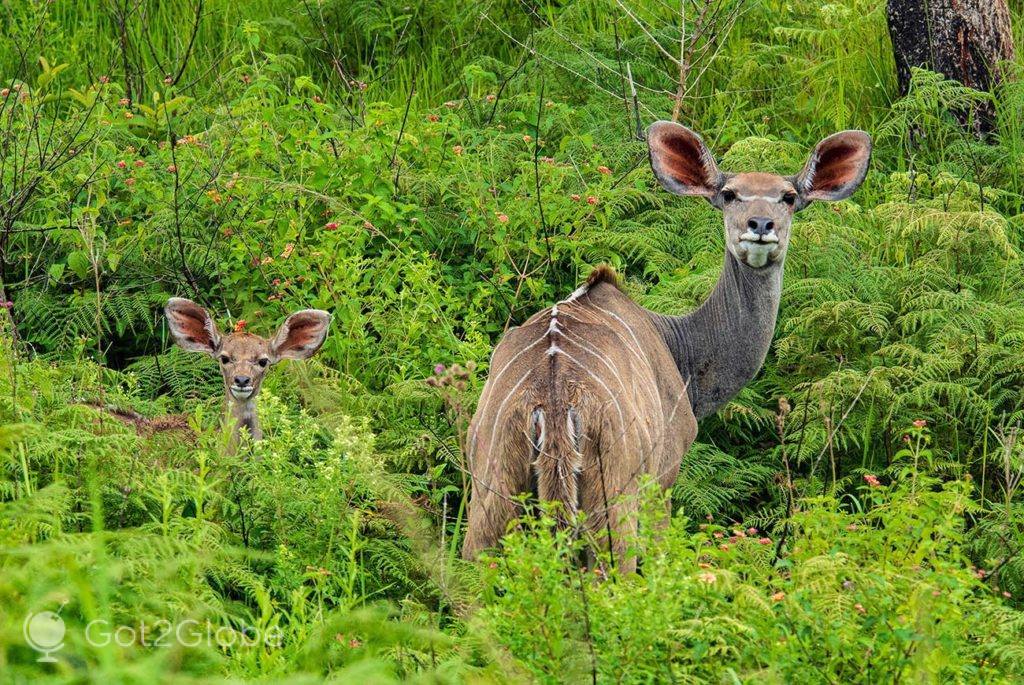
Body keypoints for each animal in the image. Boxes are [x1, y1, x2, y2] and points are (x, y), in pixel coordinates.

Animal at [464, 121, 872, 565]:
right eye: (729, 194)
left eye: (789, 196)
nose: (761, 225)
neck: (682, 353)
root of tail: (552, 403)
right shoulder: (664, 477)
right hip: (613, 502)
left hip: (490, 495)